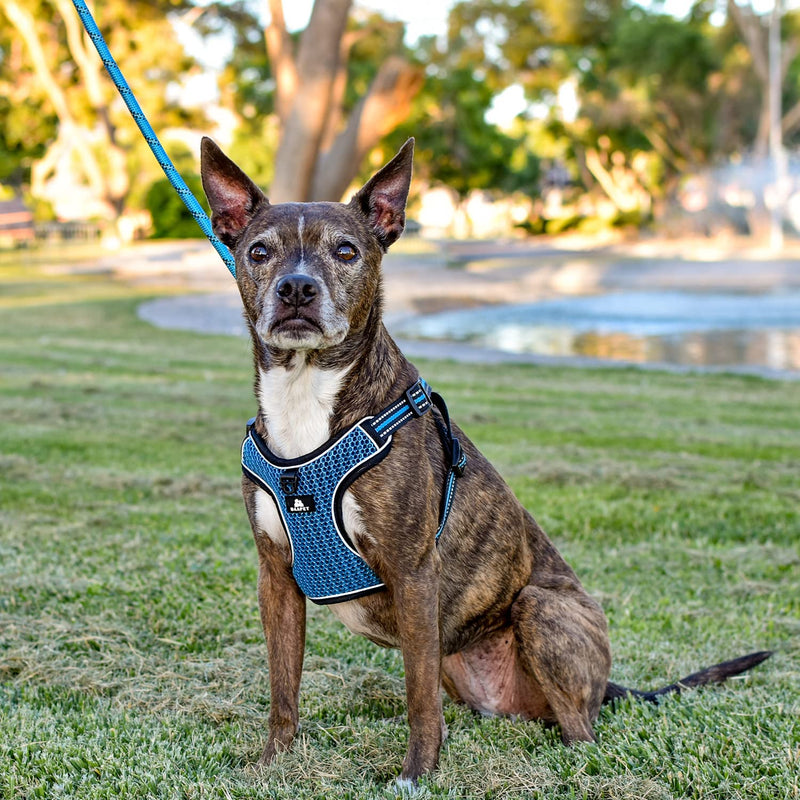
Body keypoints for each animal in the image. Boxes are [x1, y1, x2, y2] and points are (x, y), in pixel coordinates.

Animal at [198, 136, 768, 780]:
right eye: (259, 251)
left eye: (346, 251)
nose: (296, 289)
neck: (307, 395)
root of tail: (604, 687)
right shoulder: (275, 577)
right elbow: (283, 688)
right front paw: (274, 763)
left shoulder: (413, 574)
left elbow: (417, 697)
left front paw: (416, 776)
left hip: (540, 609)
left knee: (581, 732)